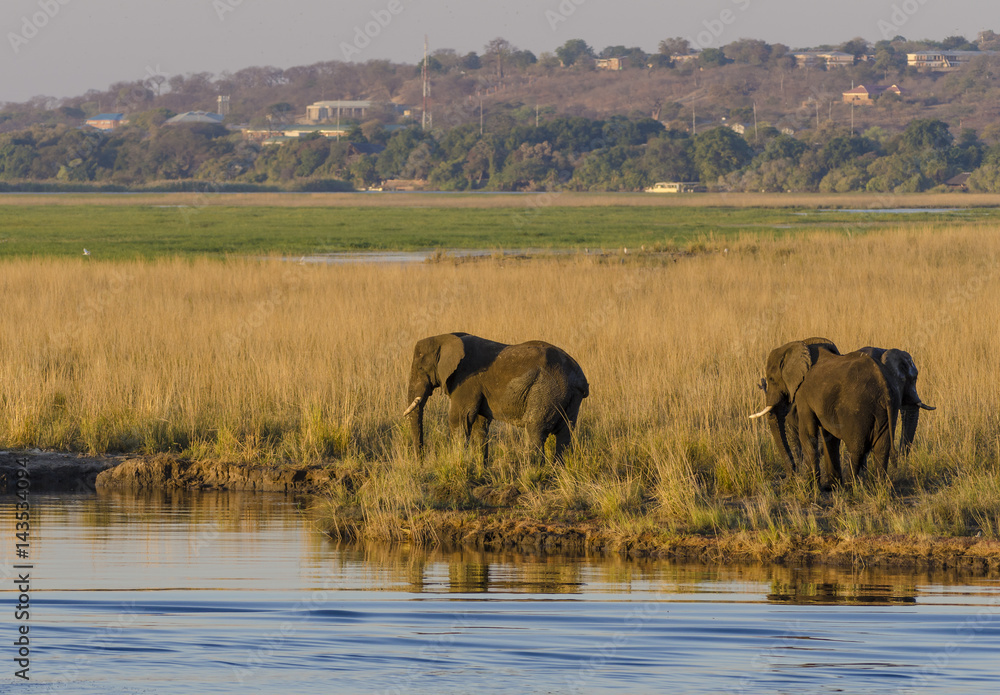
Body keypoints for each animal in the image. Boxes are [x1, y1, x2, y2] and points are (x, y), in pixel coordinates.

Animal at [404, 334, 588, 464]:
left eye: (420, 368)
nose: (420, 463)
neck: (446, 337)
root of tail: (580, 377)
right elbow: (479, 424)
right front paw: (481, 469)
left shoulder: (466, 381)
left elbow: (460, 420)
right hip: (570, 396)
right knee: (565, 433)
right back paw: (557, 472)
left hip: (547, 390)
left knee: (535, 429)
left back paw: (533, 472)